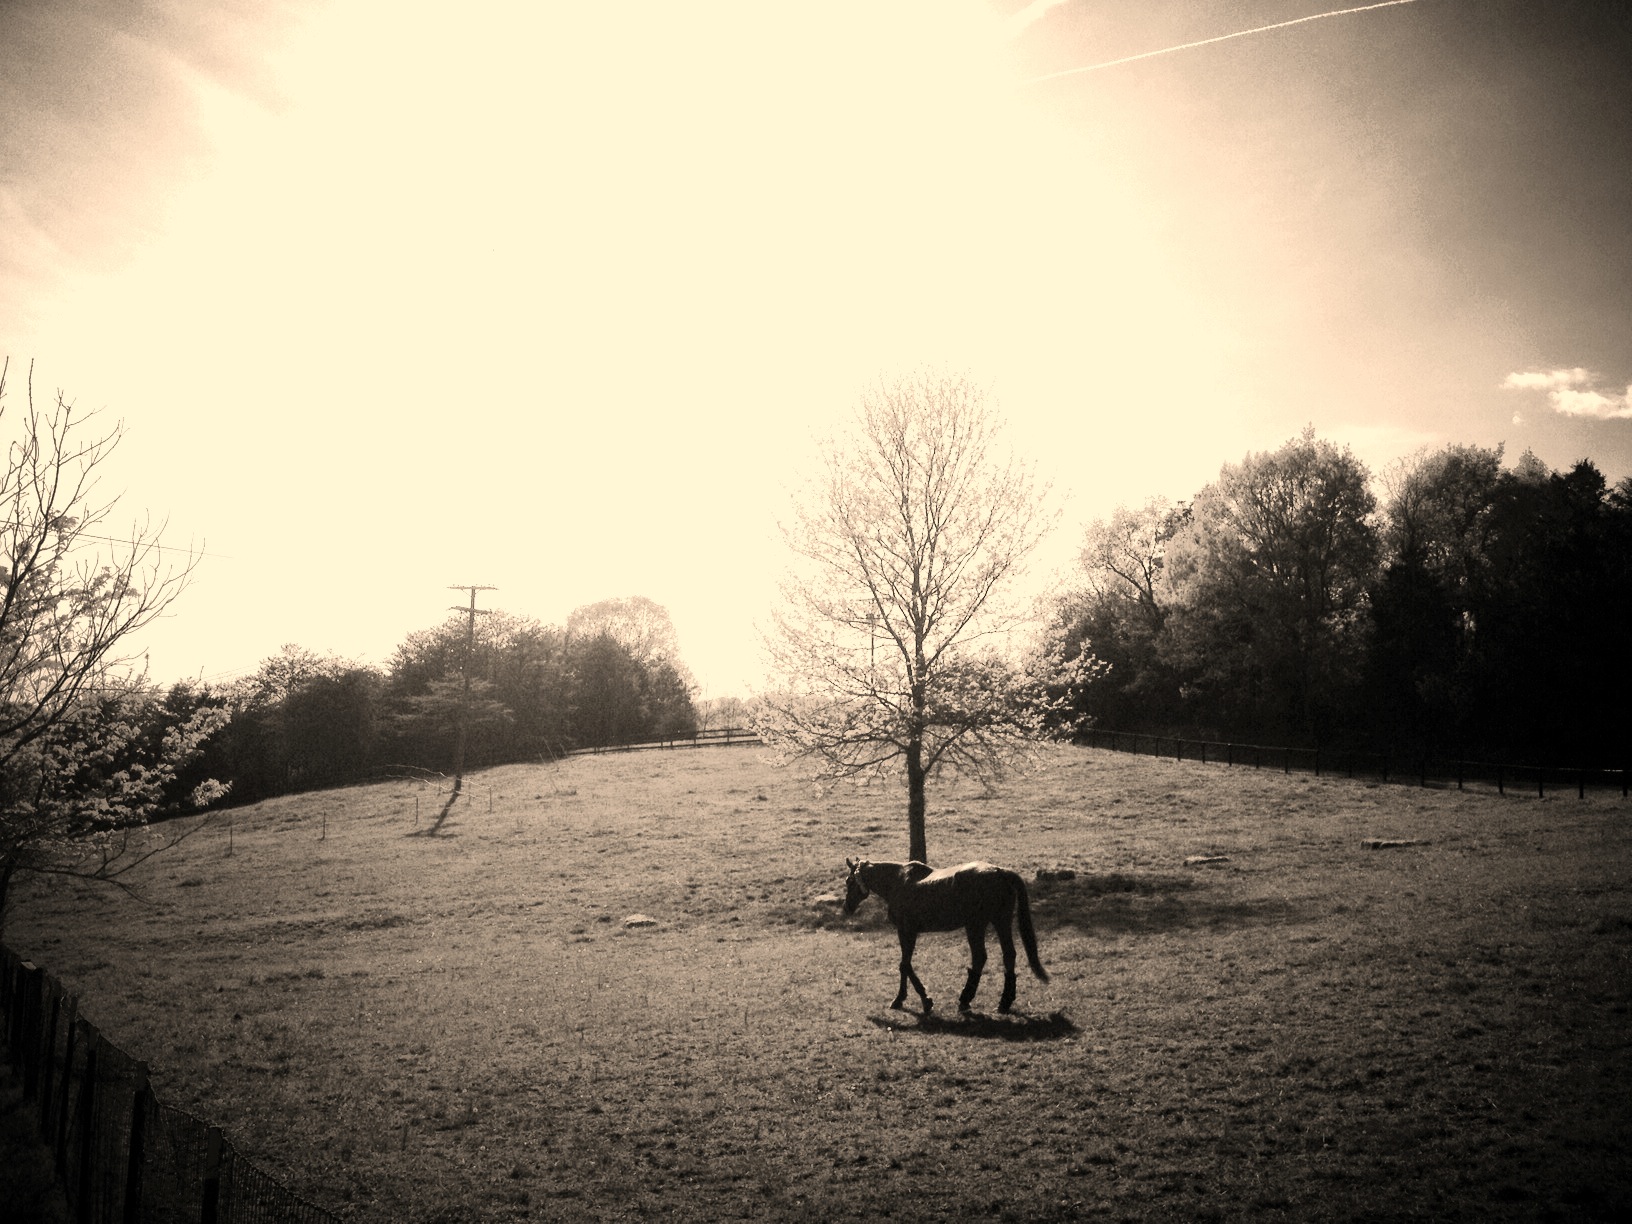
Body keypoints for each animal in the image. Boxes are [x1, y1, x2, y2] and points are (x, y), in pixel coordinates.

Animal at [843, 858, 1048, 1015]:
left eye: (849, 881)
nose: (846, 908)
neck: (898, 882)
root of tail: (1000, 871)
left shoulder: (906, 931)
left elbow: (904, 965)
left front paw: (917, 1000)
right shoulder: (908, 932)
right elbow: (905, 965)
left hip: (976, 926)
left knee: (980, 957)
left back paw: (966, 999)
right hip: (999, 922)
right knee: (1007, 955)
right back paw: (1004, 1002)